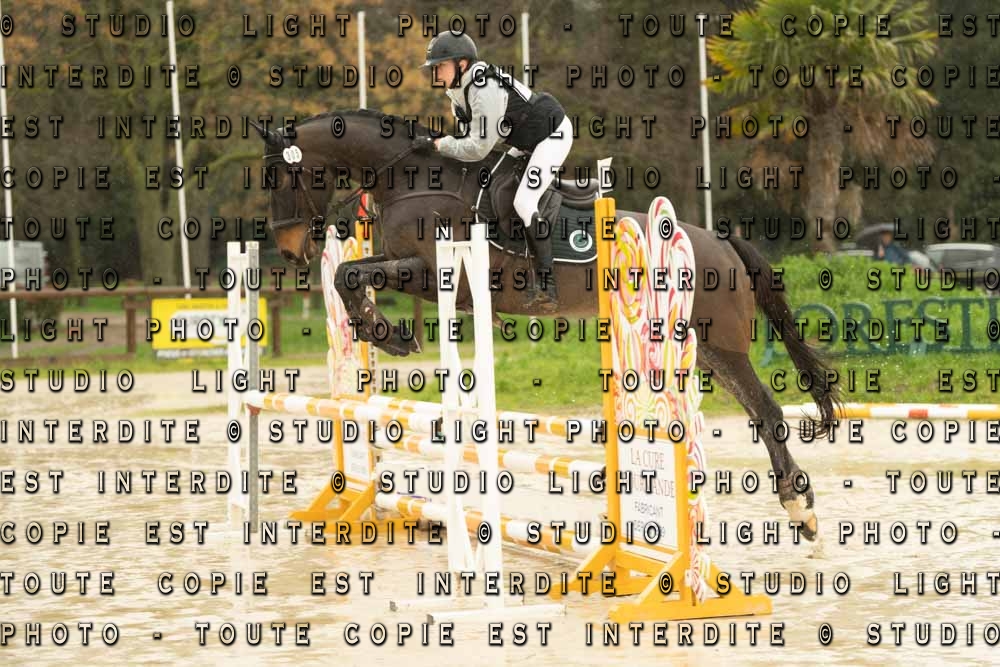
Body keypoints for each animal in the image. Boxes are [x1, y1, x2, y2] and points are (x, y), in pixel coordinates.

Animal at [249, 108, 841, 541]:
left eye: (280, 176)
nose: (290, 251)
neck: (411, 178)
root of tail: (722, 243)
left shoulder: (434, 272)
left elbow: (350, 273)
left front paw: (390, 335)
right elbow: (349, 275)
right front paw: (387, 333)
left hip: (722, 342)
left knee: (768, 411)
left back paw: (799, 507)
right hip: (709, 350)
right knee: (759, 414)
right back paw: (801, 506)